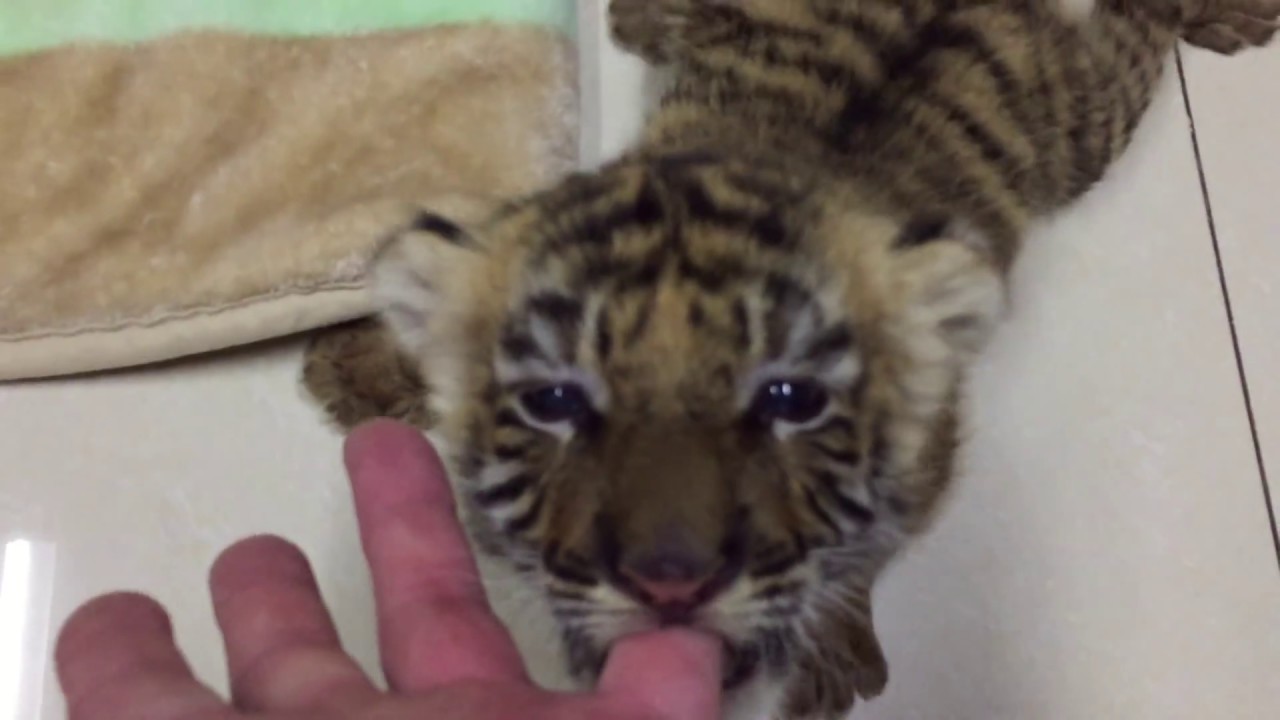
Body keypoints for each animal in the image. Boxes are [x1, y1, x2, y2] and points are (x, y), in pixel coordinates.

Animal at [301, 0, 1279, 717]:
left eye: (789, 403)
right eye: (558, 404)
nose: (669, 577)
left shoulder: (929, 448)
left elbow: (869, 547)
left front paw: (833, 653)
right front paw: (361, 364)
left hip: (1091, 121)